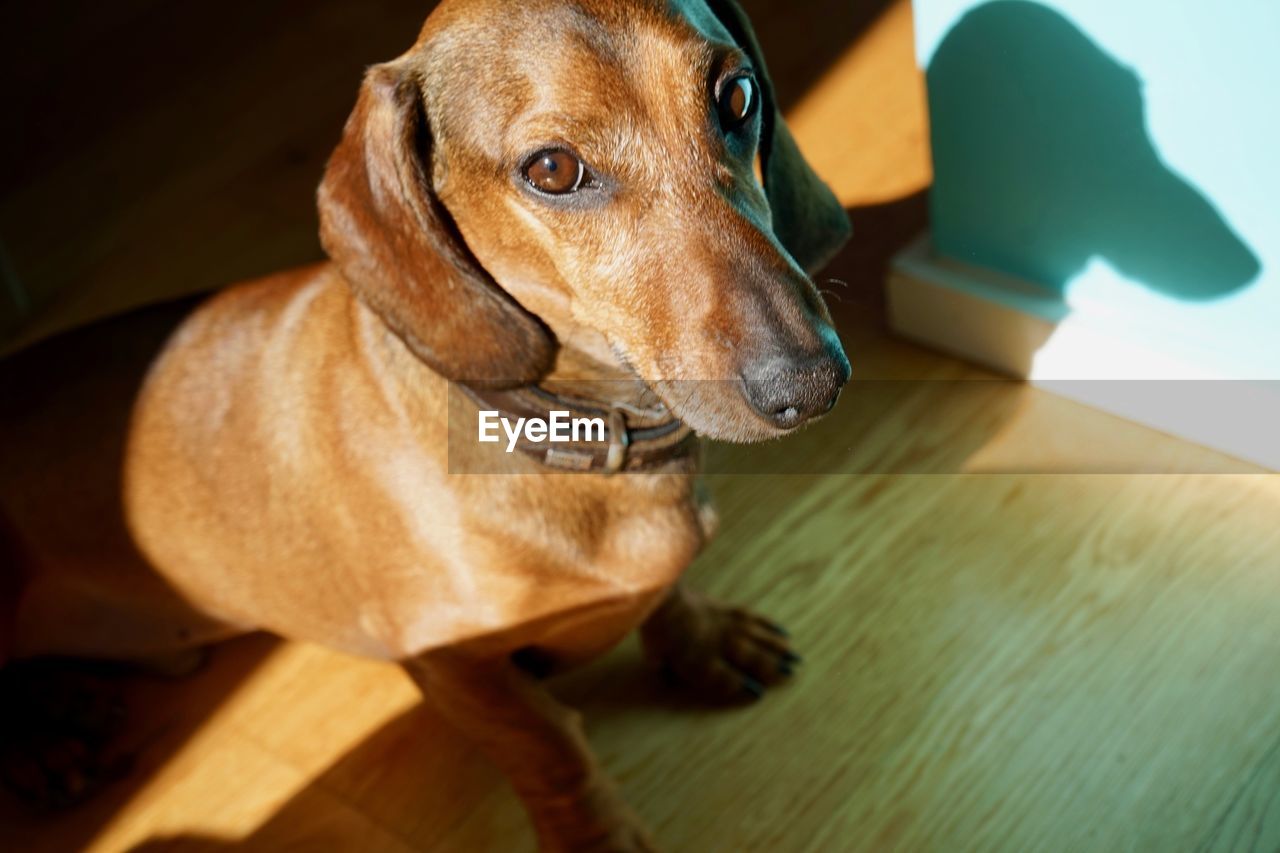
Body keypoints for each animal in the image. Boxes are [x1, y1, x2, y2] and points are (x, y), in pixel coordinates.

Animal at [5, 0, 855, 845]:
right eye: (552, 169)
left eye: (736, 96)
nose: (811, 383)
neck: (561, 431)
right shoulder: (455, 667)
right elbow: (551, 749)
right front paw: (596, 832)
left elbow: (667, 596)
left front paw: (703, 639)